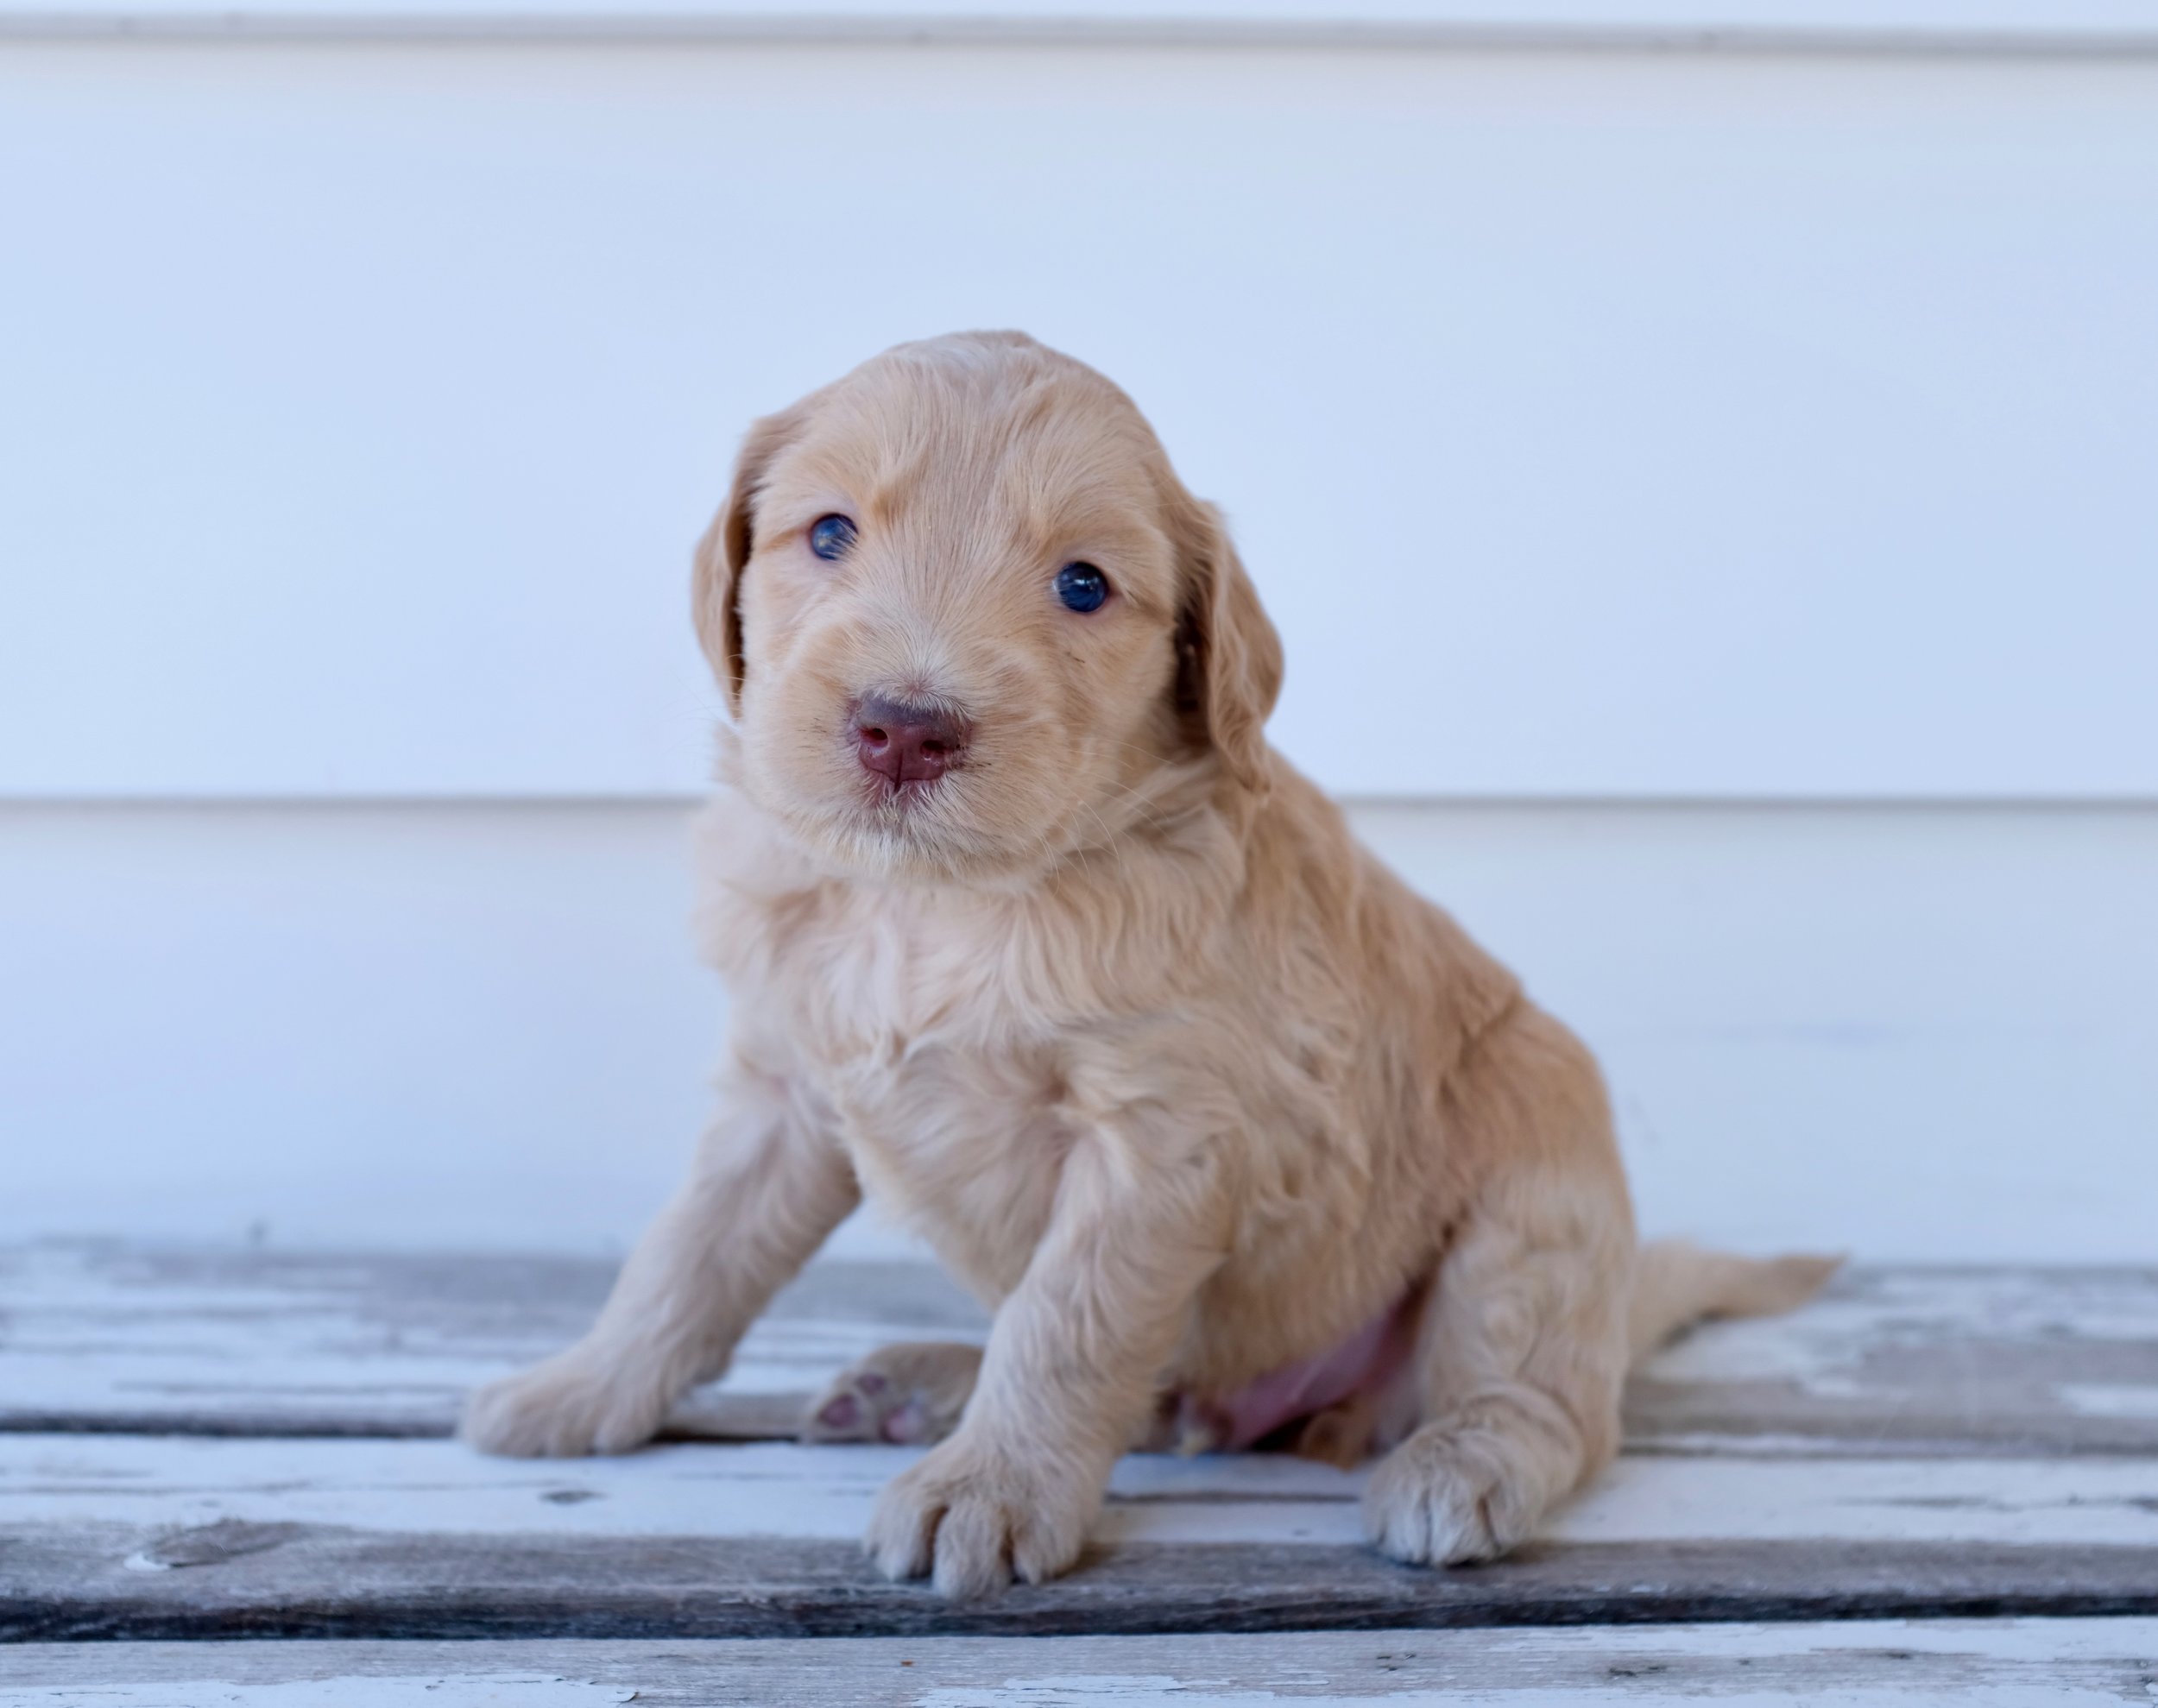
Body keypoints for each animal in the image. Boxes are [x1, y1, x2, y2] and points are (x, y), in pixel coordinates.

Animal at [464, 336, 1830, 1604]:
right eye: (829, 532)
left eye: (1082, 584)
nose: (904, 728)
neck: (933, 903)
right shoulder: (781, 1085)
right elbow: (686, 1256)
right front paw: (581, 1385)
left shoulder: (1160, 1136)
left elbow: (1065, 1324)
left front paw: (991, 1486)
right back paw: (916, 1379)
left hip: (1536, 1184)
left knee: (1547, 1399)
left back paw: (1465, 1462)